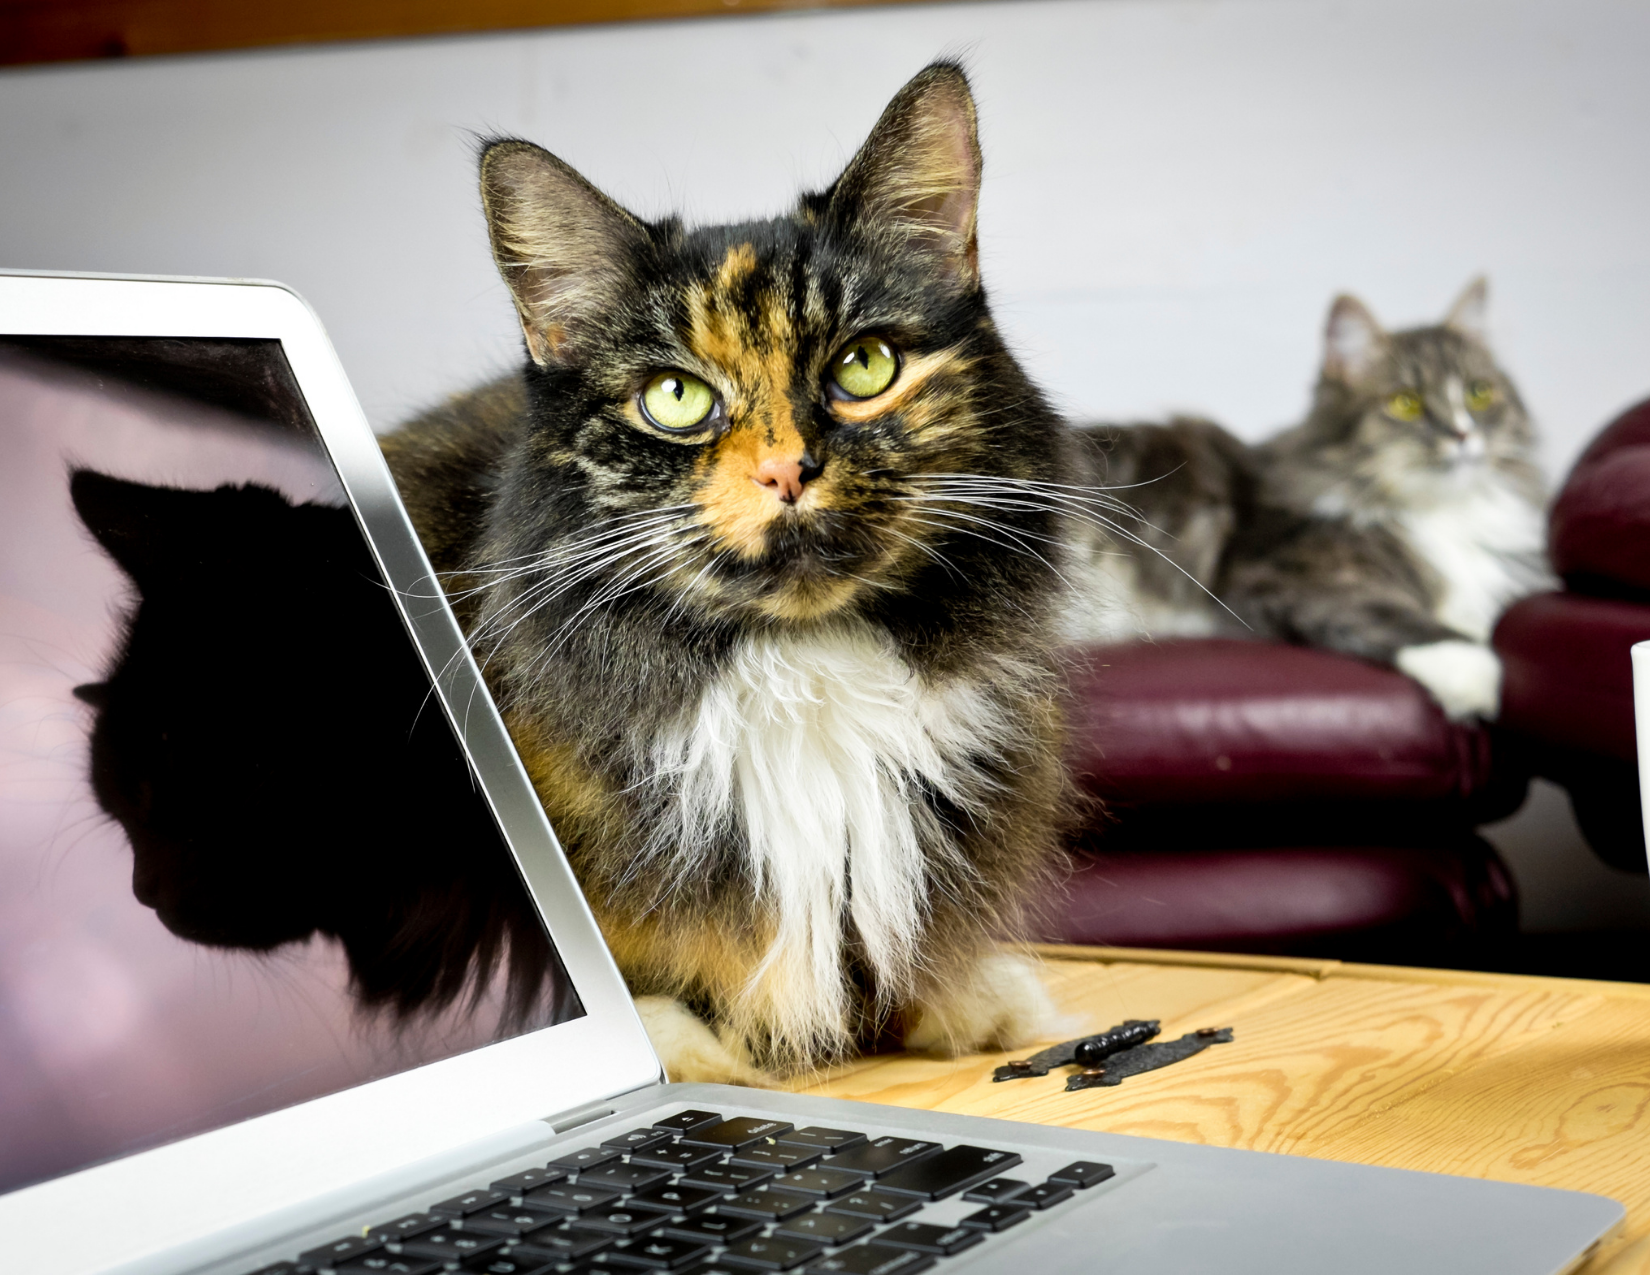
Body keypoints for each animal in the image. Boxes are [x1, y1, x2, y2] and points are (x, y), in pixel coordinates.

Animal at [379, 64, 1062, 1082]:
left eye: (865, 366)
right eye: (676, 397)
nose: (786, 470)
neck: (799, 674)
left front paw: (979, 1003)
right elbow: (646, 1001)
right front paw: (708, 1059)